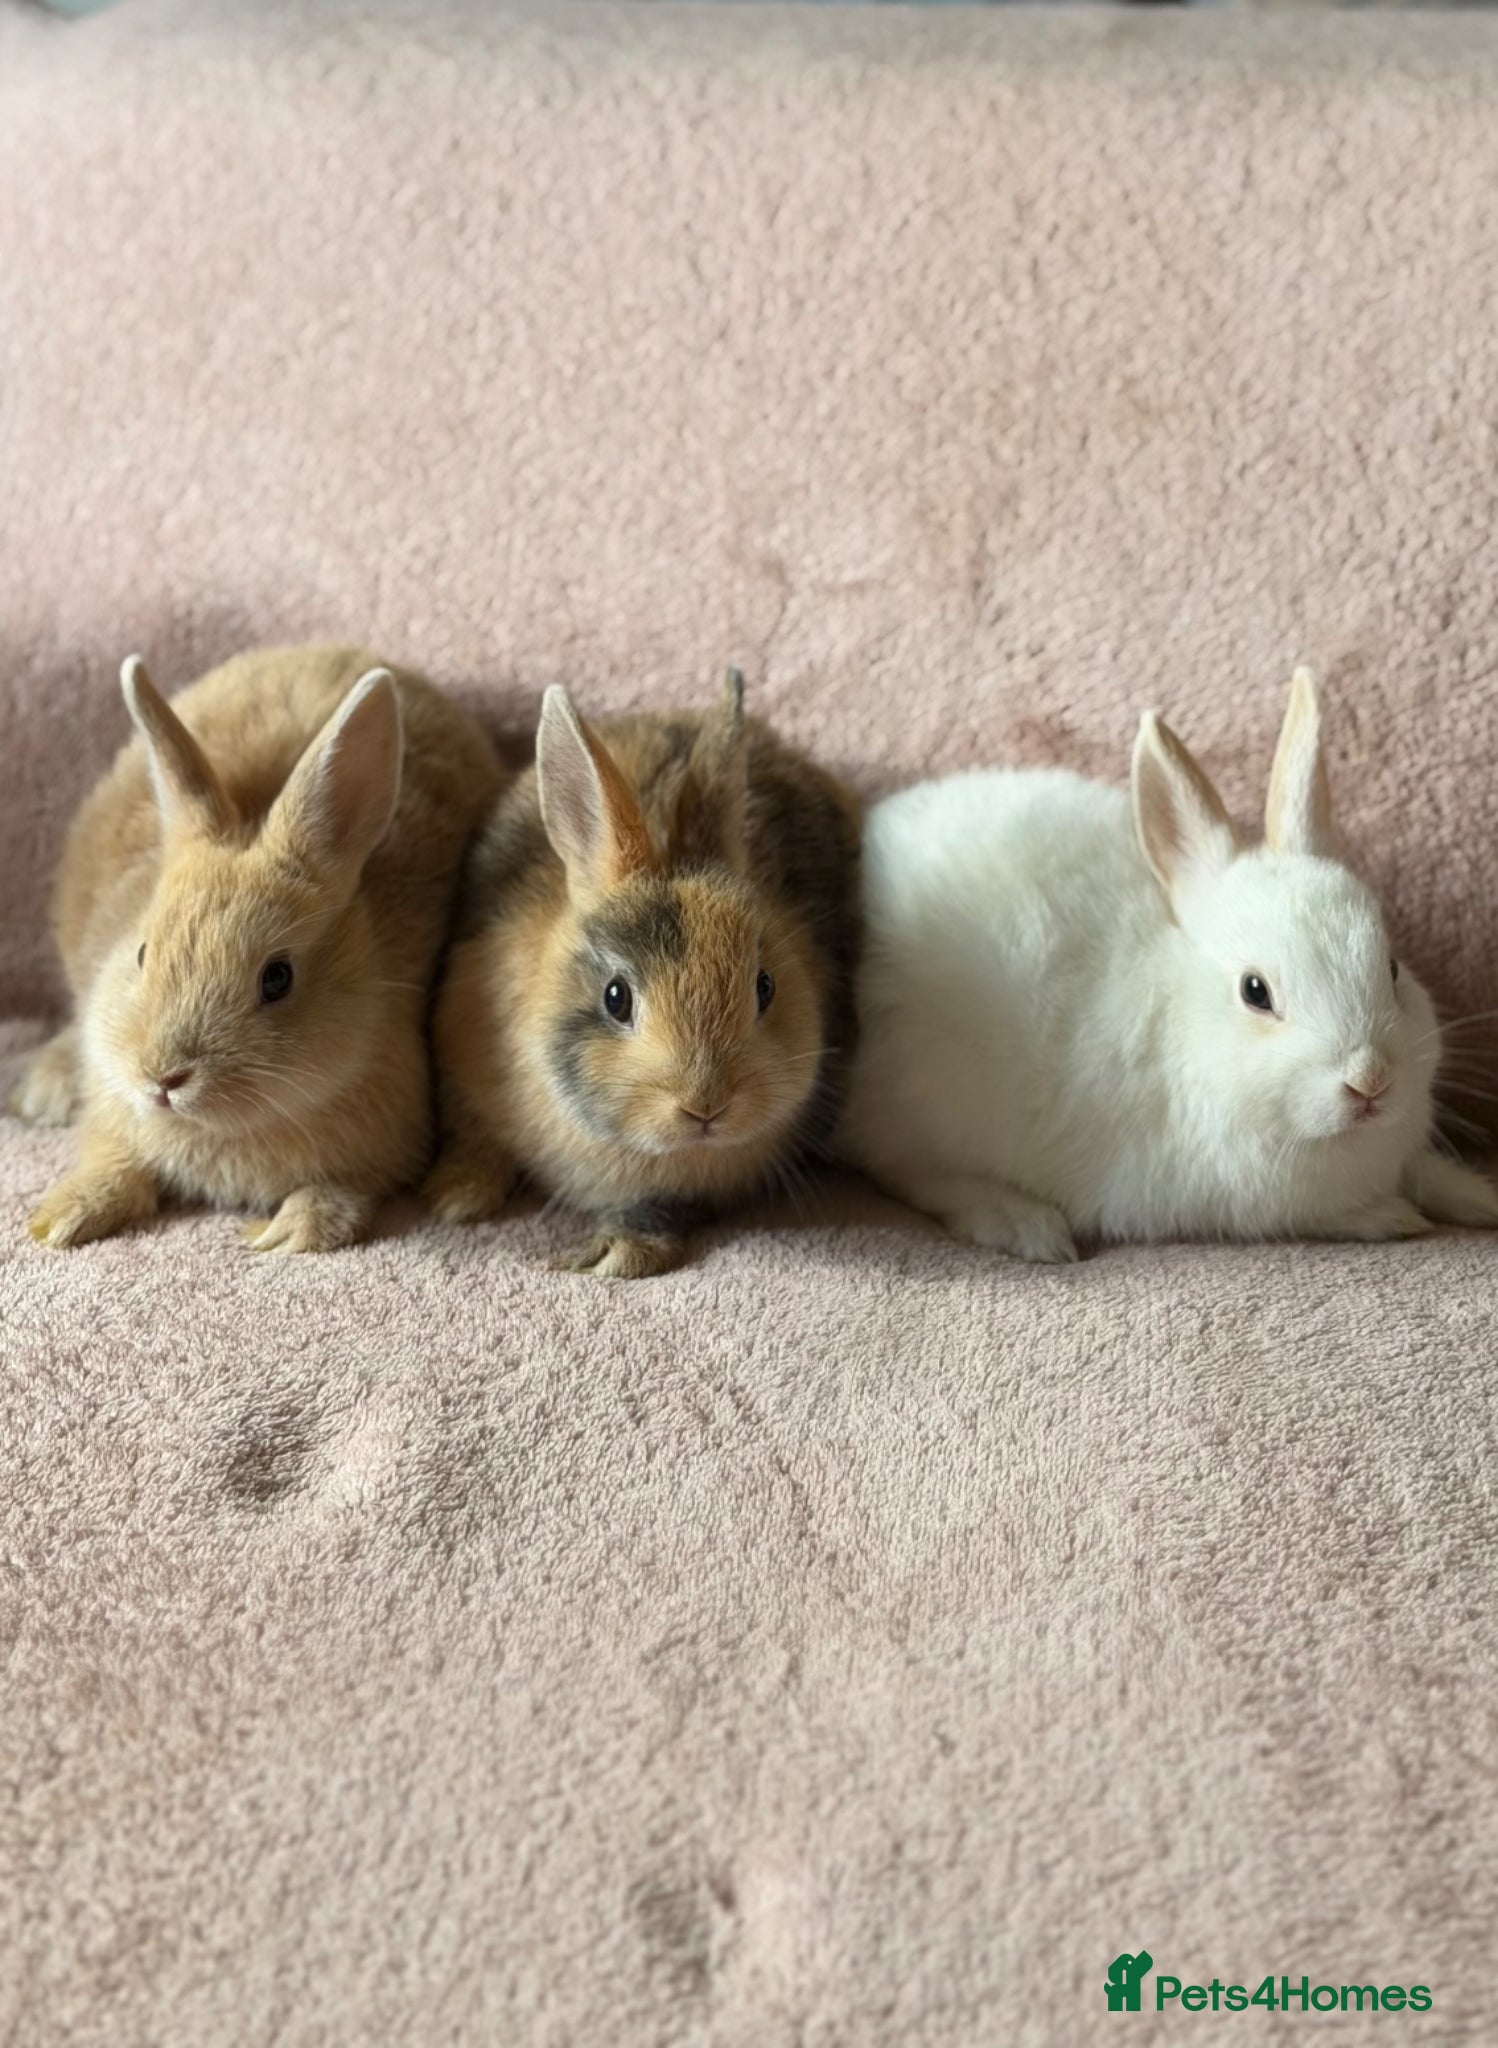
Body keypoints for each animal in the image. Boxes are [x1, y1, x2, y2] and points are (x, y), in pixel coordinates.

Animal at [16, 644, 502, 1252]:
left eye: (277, 978)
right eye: (142, 953)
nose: (163, 1080)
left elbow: (344, 1188)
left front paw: (291, 1230)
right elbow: (113, 1164)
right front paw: (62, 1218)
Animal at [425, 669, 861, 1277]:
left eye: (766, 986)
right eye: (616, 997)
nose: (706, 1106)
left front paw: (619, 1253)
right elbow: (475, 1140)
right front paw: (456, 1199)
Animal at [839, 668, 1498, 1261]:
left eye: (1392, 967)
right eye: (1255, 991)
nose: (1370, 1080)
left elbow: (1429, 1173)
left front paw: (1480, 1198)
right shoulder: (1229, 1204)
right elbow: (1328, 1214)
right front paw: (1389, 1216)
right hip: (923, 1100)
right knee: (905, 1168)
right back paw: (1023, 1224)